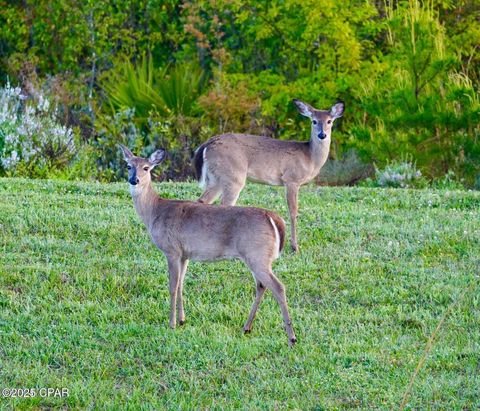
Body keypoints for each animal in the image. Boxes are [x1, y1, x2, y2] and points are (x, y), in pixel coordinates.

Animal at [117, 146, 296, 348]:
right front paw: (182, 320)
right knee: (262, 285)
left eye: (146, 168)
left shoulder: (171, 250)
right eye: (129, 166)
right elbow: (181, 284)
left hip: (256, 254)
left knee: (278, 287)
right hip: (257, 257)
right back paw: (247, 328)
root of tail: (274, 218)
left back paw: (291, 338)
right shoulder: (184, 254)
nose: (134, 180)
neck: (154, 211)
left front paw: (171, 324)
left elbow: (172, 286)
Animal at [193, 101, 344, 253]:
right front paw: (295, 247)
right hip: (233, 175)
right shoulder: (291, 179)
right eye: (314, 121)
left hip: (216, 178)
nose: (322, 134)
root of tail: (207, 144)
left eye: (329, 121)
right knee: (225, 204)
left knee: (203, 201)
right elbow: (293, 211)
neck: (310, 158)